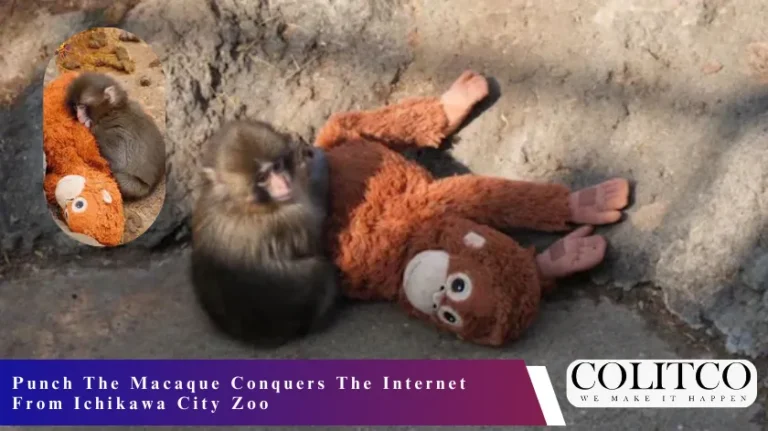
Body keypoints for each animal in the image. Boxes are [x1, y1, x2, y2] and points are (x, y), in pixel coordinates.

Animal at [65, 72, 165, 201]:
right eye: (76, 106)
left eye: (82, 106)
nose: (79, 116)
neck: (111, 111)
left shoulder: (110, 133)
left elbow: (118, 162)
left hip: (136, 187)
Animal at [189, 119, 340, 346]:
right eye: (262, 177)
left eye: (277, 166)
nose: (284, 183)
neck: (239, 203)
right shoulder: (292, 216)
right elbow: (316, 237)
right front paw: (316, 166)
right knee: (322, 273)